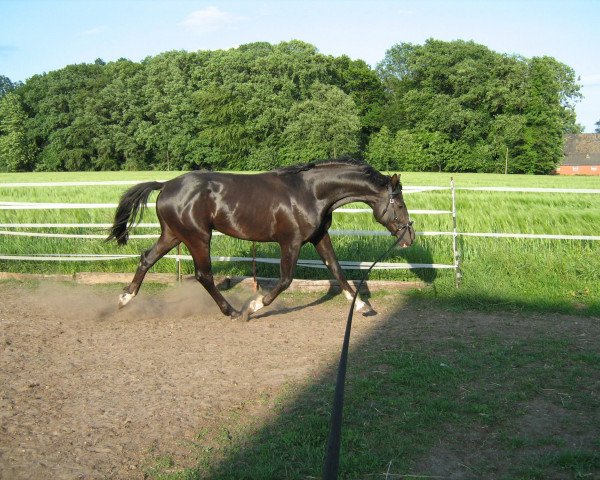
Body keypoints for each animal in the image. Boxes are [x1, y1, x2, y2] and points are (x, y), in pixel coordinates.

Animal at [108, 159, 414, 320]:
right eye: (399, 204)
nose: (409, 236)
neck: (310, 192)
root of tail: (166, 185)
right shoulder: (290, 242)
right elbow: (285, 280)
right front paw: (254, 306)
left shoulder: (319, 237)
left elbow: (338, 271)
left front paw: (363, 306)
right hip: (198, 237)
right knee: (204, 275)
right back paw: (233, 311)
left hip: (173, 235)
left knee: (146, 259)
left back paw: (124, 299)